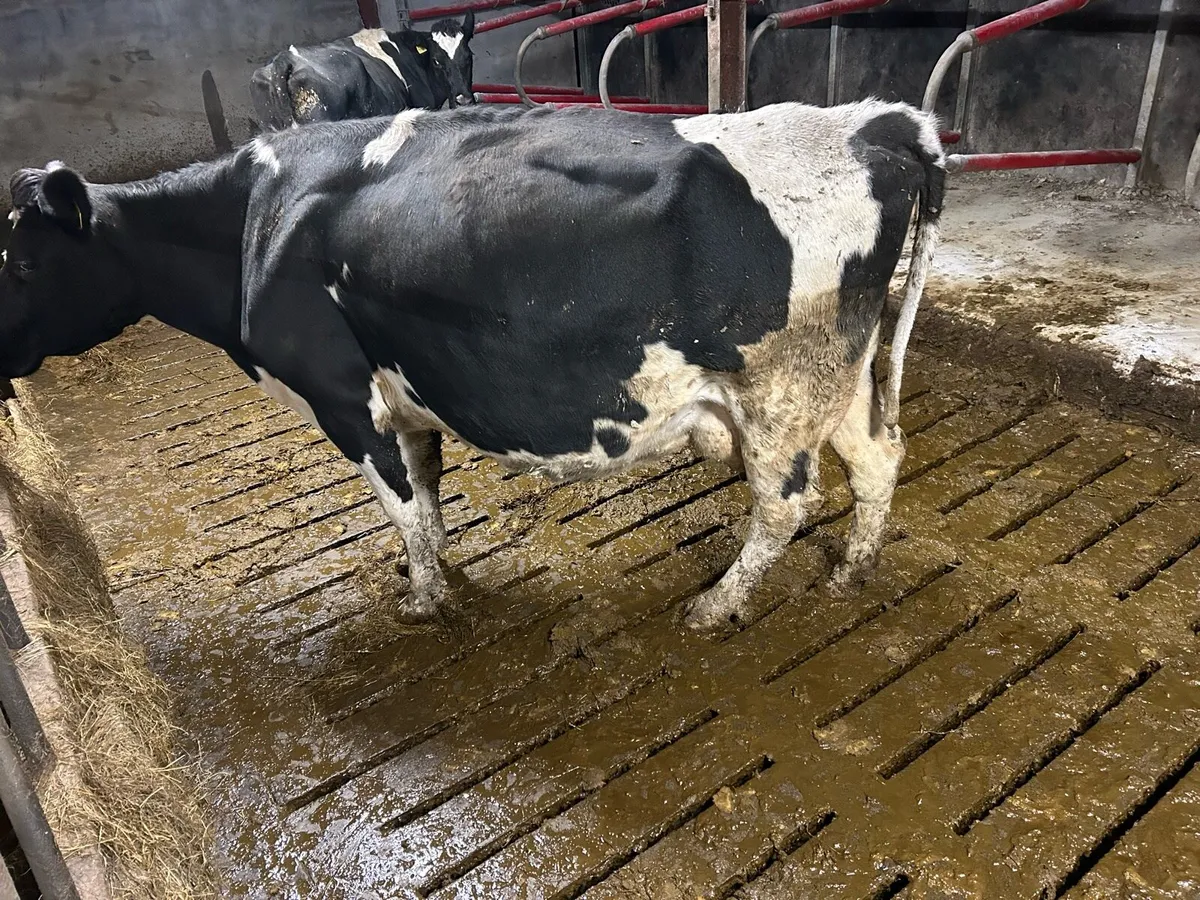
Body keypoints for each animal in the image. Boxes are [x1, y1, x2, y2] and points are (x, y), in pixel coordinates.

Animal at [0, 100, 944, 630]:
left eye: (25, 262)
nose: (1, 350)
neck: (251, 222)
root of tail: (878, 123)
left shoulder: (343, 398)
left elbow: (400, 505)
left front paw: (426, 601)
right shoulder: (402, 393)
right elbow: (424, 492)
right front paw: (437, 570)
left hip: (778, 393)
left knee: (783, 506)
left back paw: (718, 605)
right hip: (840, 378)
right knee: (878, 460)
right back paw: (853, 569)